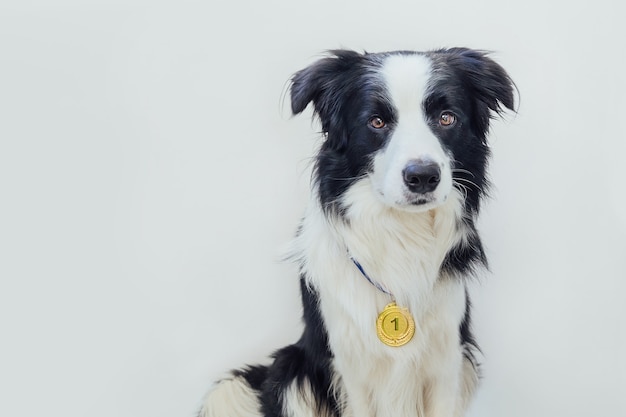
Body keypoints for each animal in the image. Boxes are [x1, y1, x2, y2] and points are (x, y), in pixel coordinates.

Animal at [199, 48, 512, 416]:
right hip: (295, 371)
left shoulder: (447, 361)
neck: (402, 234)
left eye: (447, 118)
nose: (423, 176)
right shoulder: (352, 369)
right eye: (376, 122)